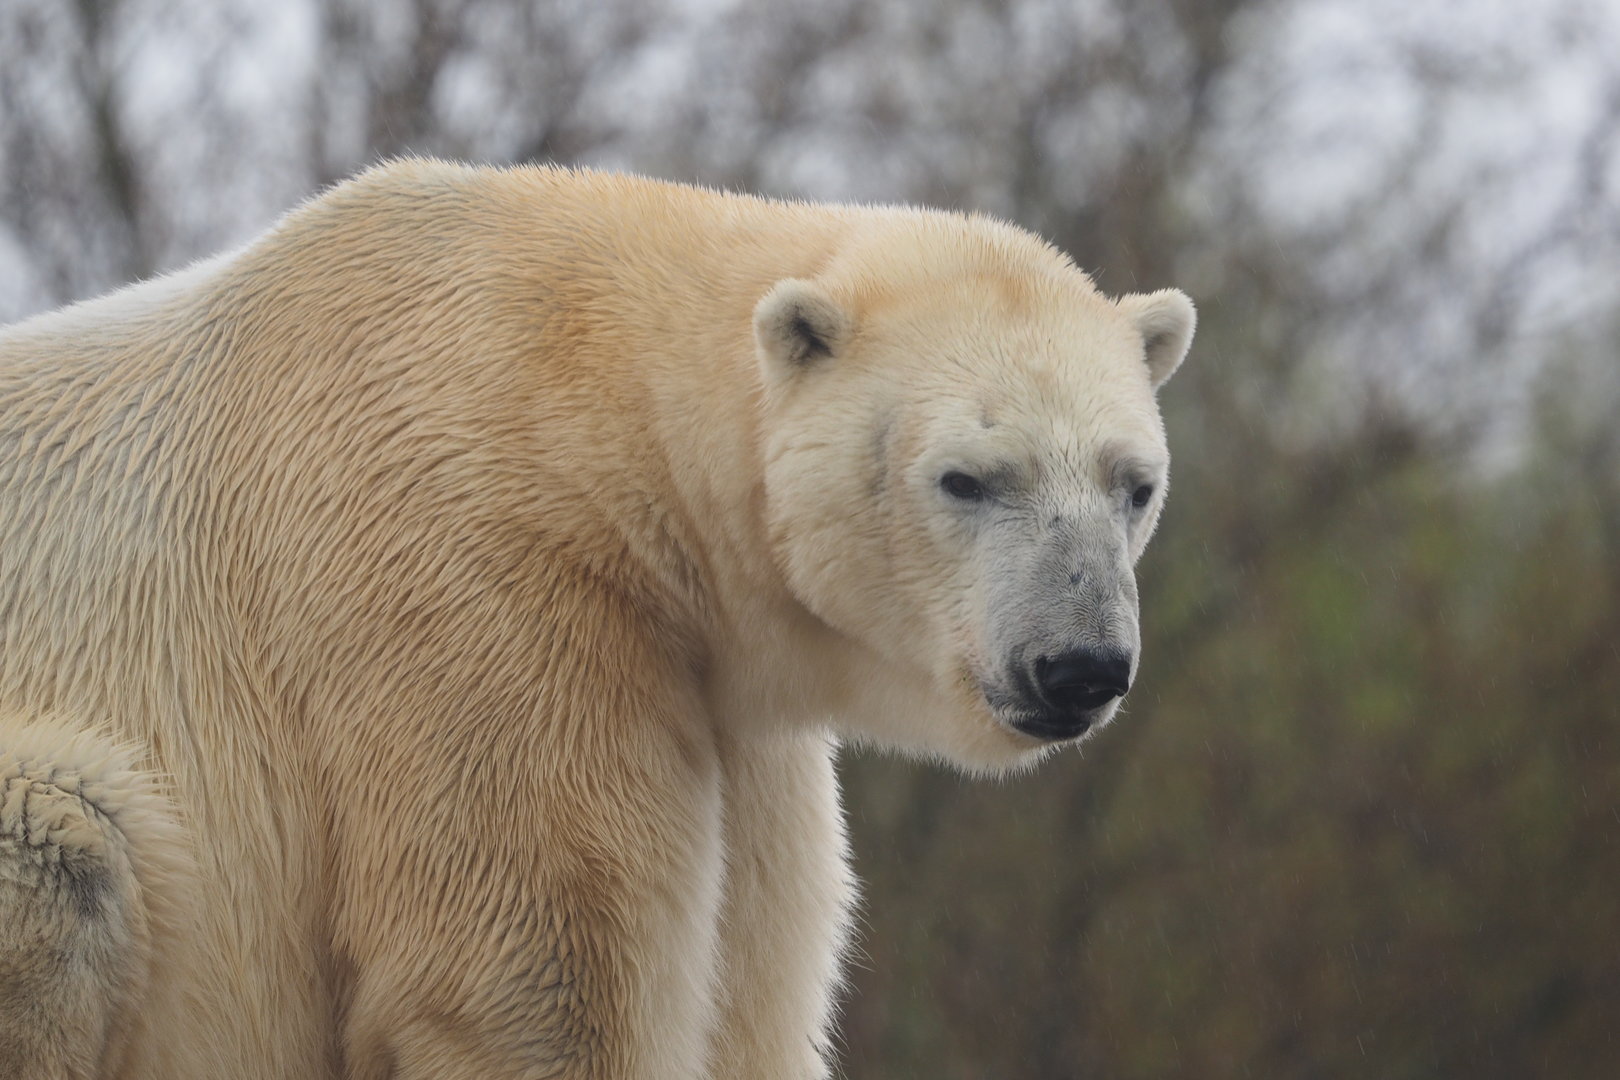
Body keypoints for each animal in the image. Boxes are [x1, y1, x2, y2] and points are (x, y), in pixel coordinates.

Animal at [0, 159, 1194, 1079]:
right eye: (967, 478)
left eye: (1135, 484)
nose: (1078, 666)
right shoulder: (475, 592)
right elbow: (533, 981)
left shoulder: (722, 707)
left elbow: (751, 981)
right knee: (71, 844)